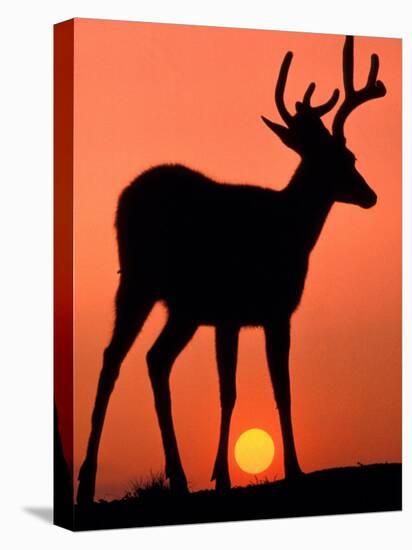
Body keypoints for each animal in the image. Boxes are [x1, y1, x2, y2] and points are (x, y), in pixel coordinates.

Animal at [76, 36, 386, 506]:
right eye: (347, 157)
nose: (370, 195)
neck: (290, 229)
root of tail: (125, 197)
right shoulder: (276, 310)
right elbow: (279, 389)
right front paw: (293, 469)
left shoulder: (230, 317)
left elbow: (229, 390)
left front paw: (221, 475)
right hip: (145, 285)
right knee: (127, 358)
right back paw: (105, 479)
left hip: (168, 301)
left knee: (141, 358)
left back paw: (156, 478)